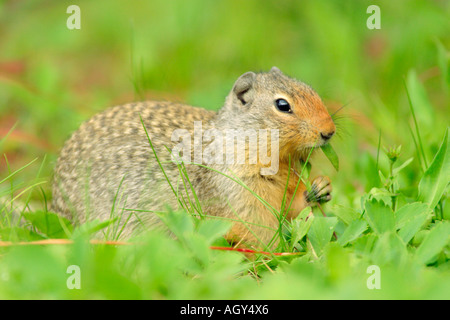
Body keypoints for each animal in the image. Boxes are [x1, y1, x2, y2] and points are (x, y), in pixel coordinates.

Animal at [51, 66, 334, 249]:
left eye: (311, 90)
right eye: (282, 105)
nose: (329, 131)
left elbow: (294, 208)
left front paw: (321, 188)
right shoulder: (240, 193)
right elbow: (256, 229)